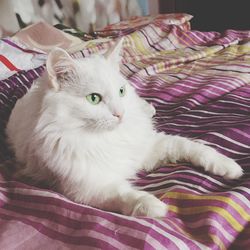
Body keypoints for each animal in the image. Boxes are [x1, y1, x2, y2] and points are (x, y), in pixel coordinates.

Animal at [5, 40, 243, 218]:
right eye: (94, 99)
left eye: (121, 91)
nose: (120, 114)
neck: (108, 138)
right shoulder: (88, 187)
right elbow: (126, 195)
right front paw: (155, 207)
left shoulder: (152, 147)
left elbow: (195, 148)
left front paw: (229, 167)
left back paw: (149, 109)